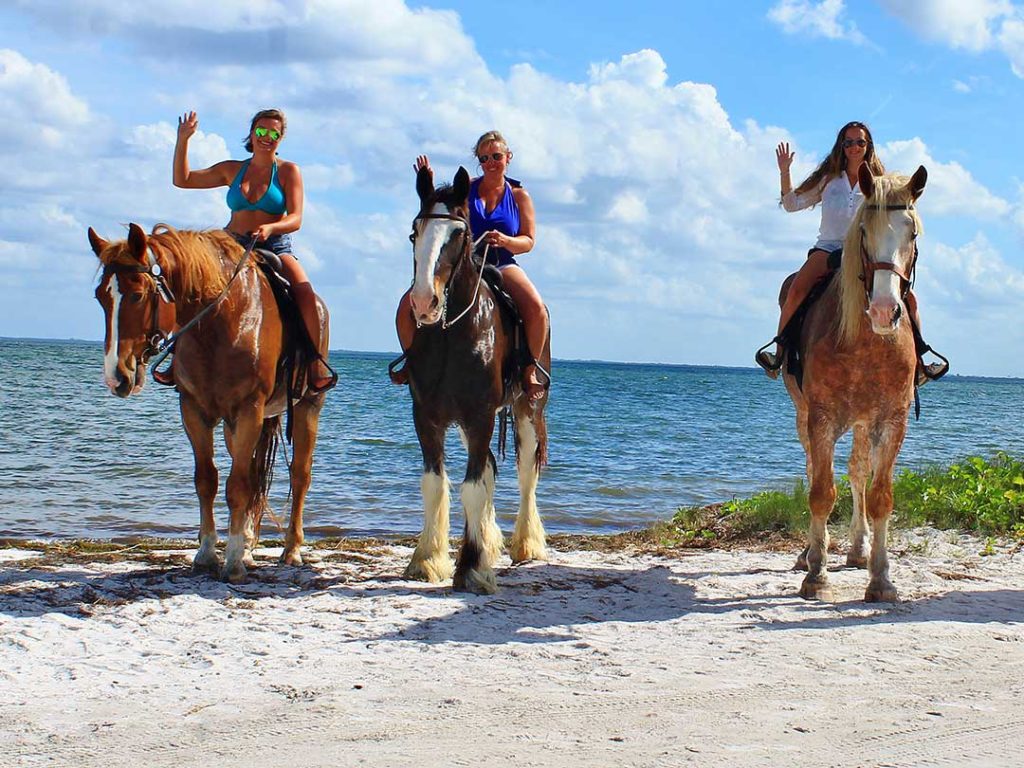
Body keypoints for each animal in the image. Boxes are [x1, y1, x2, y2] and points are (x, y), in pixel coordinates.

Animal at [91, 222, 325, 581]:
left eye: (138, 294)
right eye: (100, 297)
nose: (117, 376)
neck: (219, 322)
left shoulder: (249, 410)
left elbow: (237, 485)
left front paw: (231, 563)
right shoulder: (194, 410)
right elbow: (208, 480)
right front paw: (207, 553)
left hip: (307, 406)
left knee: (300, 474)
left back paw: (291, 550)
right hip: (233, 425)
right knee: (254, 475)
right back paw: (248, 546)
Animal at [403, 166, 557, 593]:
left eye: (458, 233)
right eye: (415, 231)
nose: (423, 302)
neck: (451, 333)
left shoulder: (480, 415)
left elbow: (472, 488)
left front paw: (471, 568)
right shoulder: (426, 417)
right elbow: (435, 484)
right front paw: (428, 560)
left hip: (527, 409)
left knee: (525, 475)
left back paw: (526, 544)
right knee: (488, 470)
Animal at [782, 165, 929, 606]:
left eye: (912, 233)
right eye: (864, 231)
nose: (883, 310)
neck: (866, 340)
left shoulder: (893, 420)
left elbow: (881, 496)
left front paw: (880, 578)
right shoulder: (822, 417)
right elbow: (820, 491)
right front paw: (816, 574)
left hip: (865, 422)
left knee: (858, 471)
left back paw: (859, 549)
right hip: (804, 414)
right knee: (815, 468)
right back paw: (809, 553)